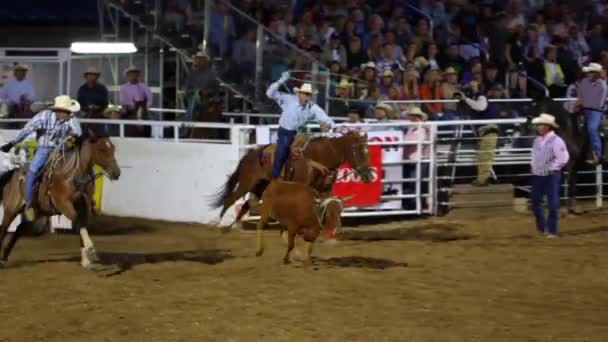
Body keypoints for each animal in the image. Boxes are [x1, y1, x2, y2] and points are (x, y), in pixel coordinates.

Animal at [0, 130, 121, 270]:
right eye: (101, 149)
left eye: (113, 148)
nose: (116, 173)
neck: (73, 174)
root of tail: (13, 174)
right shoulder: (64, 204)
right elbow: (78, 223)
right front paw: (91, 251)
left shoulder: (84, 205)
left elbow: (81, 225)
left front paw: (86, 260)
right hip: (11, 209)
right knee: (3, 228)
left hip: (38, 214)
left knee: (19, 229)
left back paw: (4, 256)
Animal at [211, 130, 372, 226]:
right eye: (358, 151)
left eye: (368, 151)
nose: (369, 175)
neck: (321, 158)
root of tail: (248, 156)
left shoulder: (325, 190)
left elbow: (329, 204)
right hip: (246, 183)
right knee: (230, 200)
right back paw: (218, 224)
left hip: (259, 187)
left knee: (247, 204)